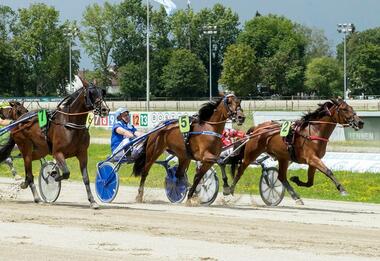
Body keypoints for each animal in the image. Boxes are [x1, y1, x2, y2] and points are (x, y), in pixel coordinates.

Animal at [0, 78, 110, 208]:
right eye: (91, 93)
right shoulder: (57, 153)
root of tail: (17, 122)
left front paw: (93, 201)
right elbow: (66, 173)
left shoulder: (83, 154)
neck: (70, 124)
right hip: (25, 146)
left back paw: (25, 183)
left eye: (102, 92)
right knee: (29, 170)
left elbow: (86, 178)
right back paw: (36, 197)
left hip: (40, 150)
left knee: (29, 167)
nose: (105, 109)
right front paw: (54, 175)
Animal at [227, 97, 364, 203]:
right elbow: (328, 171)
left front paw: (295, 179)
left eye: (351, 108)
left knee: (281, 177)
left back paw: (296, 197)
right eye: (345, 109)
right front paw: (342, 190)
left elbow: (310, 182)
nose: (360, 122)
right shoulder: (312, 158)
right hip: (251, 153)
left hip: (283, 157)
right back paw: (229, 191)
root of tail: (257, 128)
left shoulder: (313, 161)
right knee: (240, 170)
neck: (313, 131)